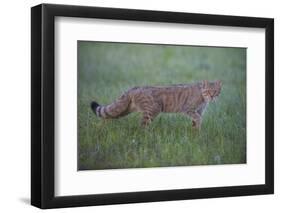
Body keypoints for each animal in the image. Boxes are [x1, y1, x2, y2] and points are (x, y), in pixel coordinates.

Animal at [90, 80, 221, 128]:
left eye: (215, 91)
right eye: (208, 91)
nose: (212, 96)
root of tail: (134, 88)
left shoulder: (198, 111)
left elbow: (195, 123)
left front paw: (195, 134)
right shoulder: (189, 109)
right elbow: (197, 118)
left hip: (125, 109)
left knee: (108, 115)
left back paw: (100, 127)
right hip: (152, 111)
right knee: (142, 126)